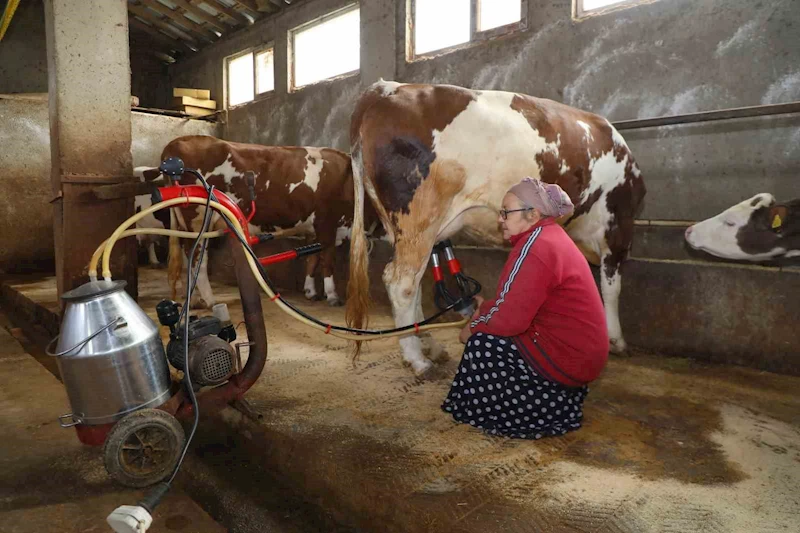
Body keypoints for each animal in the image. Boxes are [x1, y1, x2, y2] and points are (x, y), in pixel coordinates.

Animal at [161, 134, 380, 308]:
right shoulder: (327, 222)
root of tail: (177, 143)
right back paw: (210, 300)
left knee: (187, 258)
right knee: (197, 259)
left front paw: (310, 291)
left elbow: (312, 259)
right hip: (198, 220)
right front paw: (332, 295)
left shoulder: (313, 228)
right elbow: (327, 260)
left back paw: (192, 298)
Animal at [346, 82, 648, 374]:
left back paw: (429, 345)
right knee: (402, 283)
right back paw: (416, 358)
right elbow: (611, 288)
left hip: (406, 227)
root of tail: (388, 88)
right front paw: (616, 340)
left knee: (414, 282)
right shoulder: (618, 226)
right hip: (419, 218)